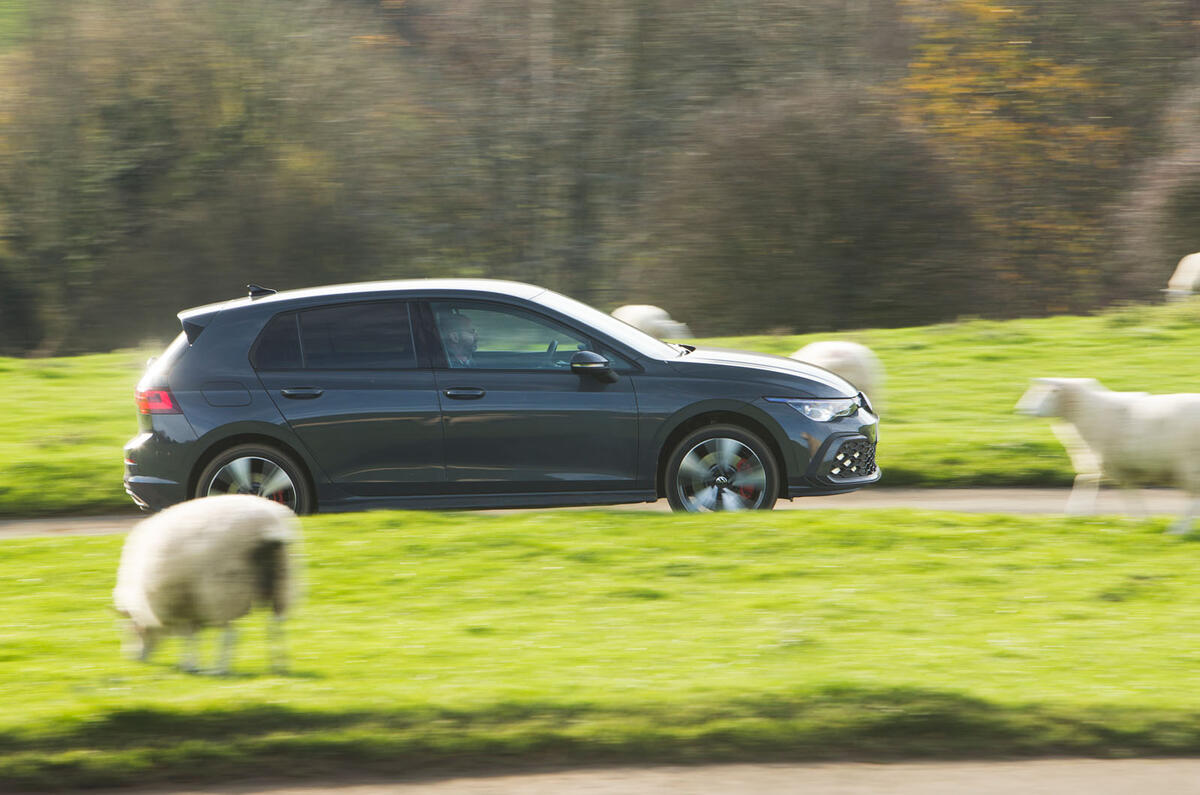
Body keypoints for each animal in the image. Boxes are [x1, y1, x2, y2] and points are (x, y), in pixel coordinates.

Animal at [112, 494, 302, 677]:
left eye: (131, 630)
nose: (133, 658)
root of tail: (268, 529)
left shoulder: (181, 608)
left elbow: (188, 638)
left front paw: (190, 665)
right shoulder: (191, 609)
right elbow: (193, 637)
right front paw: (192, 664)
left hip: (222, 593)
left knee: (231, 635)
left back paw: (220, 670)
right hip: (281, 583)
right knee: (275, 627)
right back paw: (279, 666)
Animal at [1017, 379, 1200, 535]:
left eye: (1053, 391)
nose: (1023, 410)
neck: (1091, 412)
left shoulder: (1115, 466)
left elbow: (1122, 491)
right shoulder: (1118, 467)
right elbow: (1087, 481)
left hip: (1190, 463)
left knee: (1193, 497)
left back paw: (1178, 530)